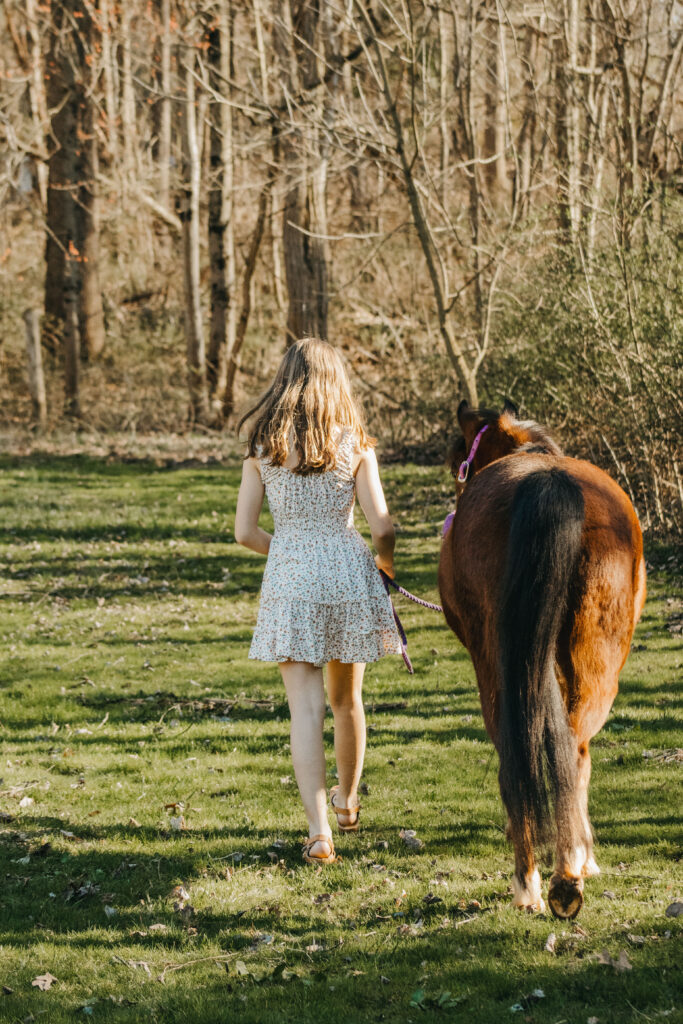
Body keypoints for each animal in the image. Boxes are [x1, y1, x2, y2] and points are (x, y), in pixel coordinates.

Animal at [438, 399, 647, 921]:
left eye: (457, 463)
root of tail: (547, 483)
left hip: (507, 662)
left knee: (530, 753)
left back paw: (544, 878)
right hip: (588, 662)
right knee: (571, 748)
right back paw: (560, 874)